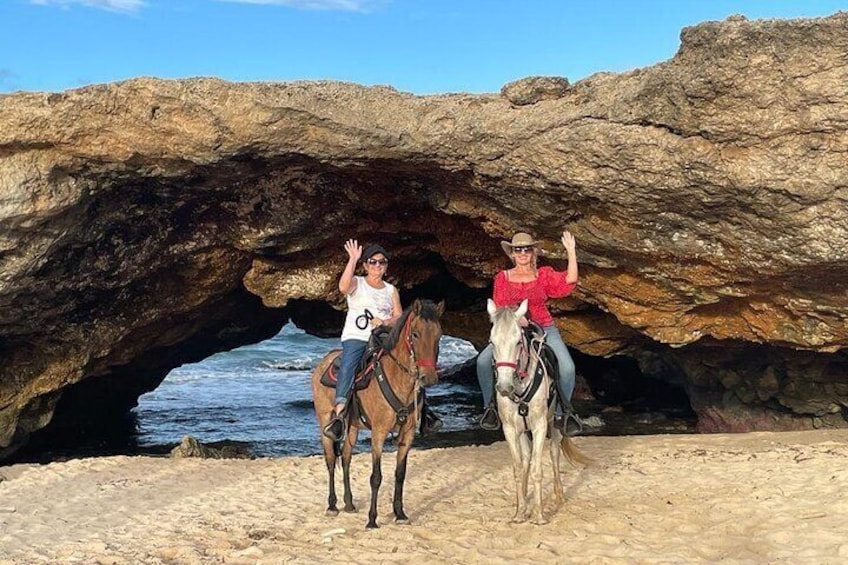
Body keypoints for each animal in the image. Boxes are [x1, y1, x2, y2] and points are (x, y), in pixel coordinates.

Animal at [312, 298, 444, 528]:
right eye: (415, 334)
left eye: (439, 335)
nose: (429, 377)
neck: (397, 378)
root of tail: (324, 361)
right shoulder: (379, 433)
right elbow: (376, 477)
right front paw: (372, 519)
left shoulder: (408, 434)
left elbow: (400, 474)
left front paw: (400, 514)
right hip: (325, 420)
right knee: (330, 460)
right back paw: (332, 505)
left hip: (352, 427)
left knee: (345, 457)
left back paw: (349, 503)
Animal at [486, 298, 588, 524]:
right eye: (492, 342)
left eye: (517, 342)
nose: (504, 387)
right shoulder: (510, 429)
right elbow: (518, 468)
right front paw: (520, 511)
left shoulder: (540, 426)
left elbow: (537, 470)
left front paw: (539, 514)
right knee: (526, 458)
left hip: (553, 424)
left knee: (554, 454)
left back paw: (558, 497)